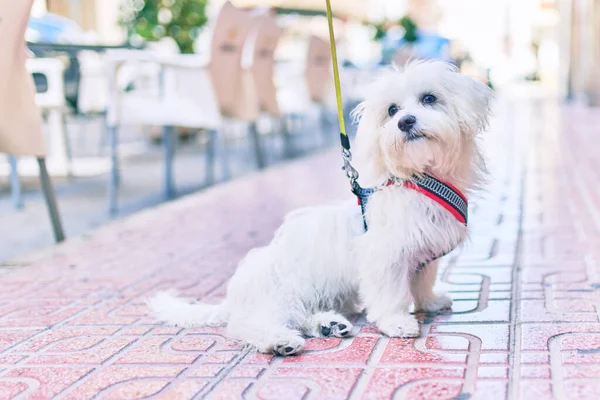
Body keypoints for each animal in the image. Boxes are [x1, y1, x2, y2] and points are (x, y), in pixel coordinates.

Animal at [149, 60, 492, 356]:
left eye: (429, 98)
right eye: (392, 110)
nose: (405, 121)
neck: (419, 178)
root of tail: (236, 294)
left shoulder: (423, 254)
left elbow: (423, 282)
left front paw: (429, 301)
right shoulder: (385, 255)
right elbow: (391, 293)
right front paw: (396, 322)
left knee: (300, 317)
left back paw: (329, 324)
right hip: (284, 292)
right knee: (250, 324)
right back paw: (280, 341)